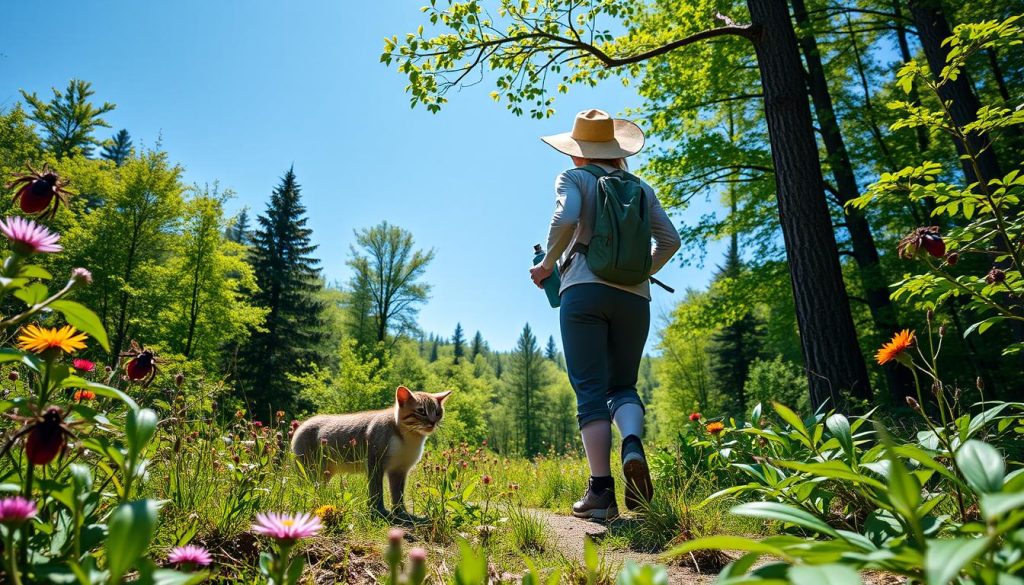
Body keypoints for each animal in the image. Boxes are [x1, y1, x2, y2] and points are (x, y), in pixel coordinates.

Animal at [288, 387, 448, 520]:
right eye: (421, 411)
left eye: (438, 412)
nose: (433, 422)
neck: (408, 438)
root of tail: (302, 425)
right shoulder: (375, 464)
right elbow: (376, 491)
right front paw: (379, 512)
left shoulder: (399, 470)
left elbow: (398, 495)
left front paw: (402, 514)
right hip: (310, 471)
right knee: (306, 489)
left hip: (324, 474)